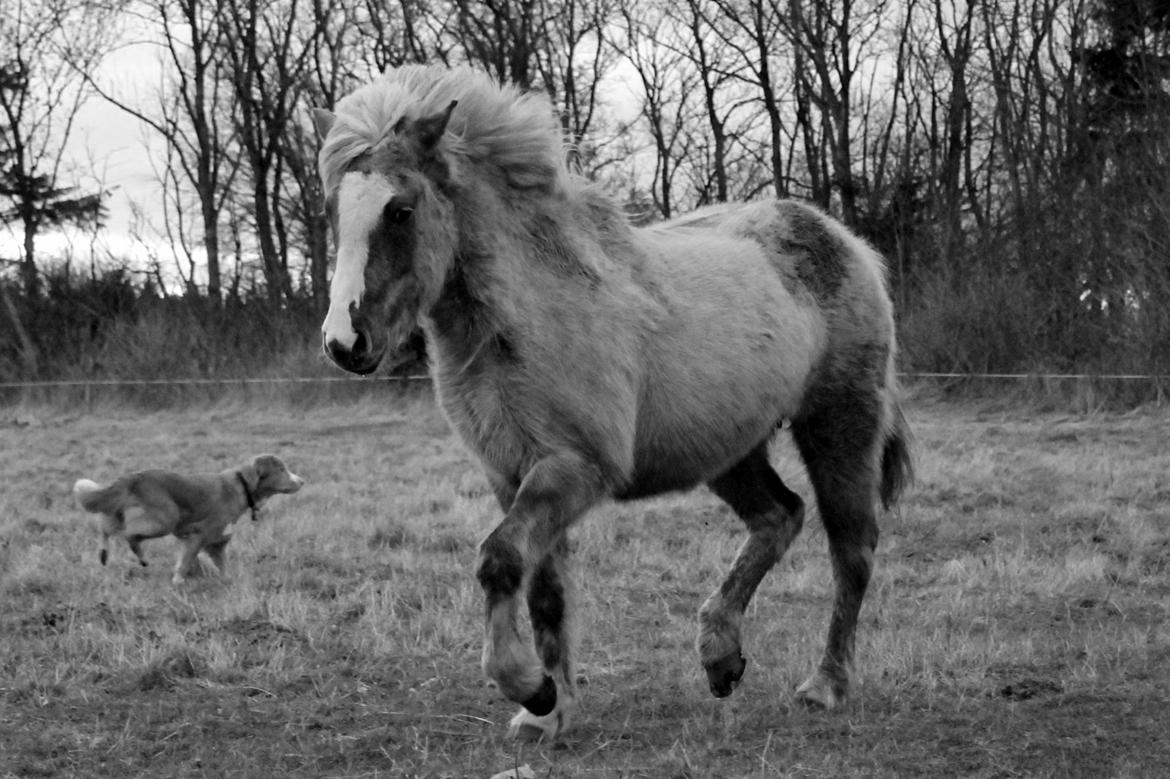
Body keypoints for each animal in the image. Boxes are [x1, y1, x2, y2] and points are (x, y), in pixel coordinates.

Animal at [70, 449, 304, 582]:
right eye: (281, 470)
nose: (302, 481)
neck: (243, 486)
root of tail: (133, 477)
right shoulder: (199, 536)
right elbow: (186, 562)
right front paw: (178, 582)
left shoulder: (216, 543)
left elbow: (221, 565)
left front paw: (226, 581)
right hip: (164, 519)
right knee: (129, 535)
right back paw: (142, 559)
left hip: (119, 512)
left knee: (104, 528)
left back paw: (103, 554)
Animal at [313, 63, 912, 739]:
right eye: (333, 209)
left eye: (401, 210)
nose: (344, 343)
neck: (529, 314)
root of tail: (848, 244)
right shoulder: (512, 475)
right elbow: (543, 590)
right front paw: (548, 712)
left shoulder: (575, 469)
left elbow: (498, 560)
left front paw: (528, 687)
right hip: (729, 451)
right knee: (779, 517)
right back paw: (720, 656)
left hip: (839, 427)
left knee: (851, 552)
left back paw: (825, 686)